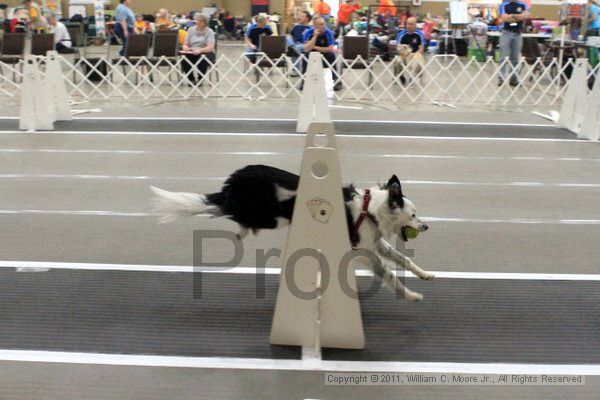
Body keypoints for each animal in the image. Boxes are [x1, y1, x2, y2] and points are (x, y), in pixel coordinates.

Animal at [152, 165, 436, 300]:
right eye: (413, 214)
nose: (426, 226)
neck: (370, 209)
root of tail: (231, 183)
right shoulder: (365, 251)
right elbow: (389, 275)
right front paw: (411, 296)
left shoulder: (374, 242)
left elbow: (404, 260)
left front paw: (424, 275)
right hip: (269, 216)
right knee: (225, 210)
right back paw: (240, 229)